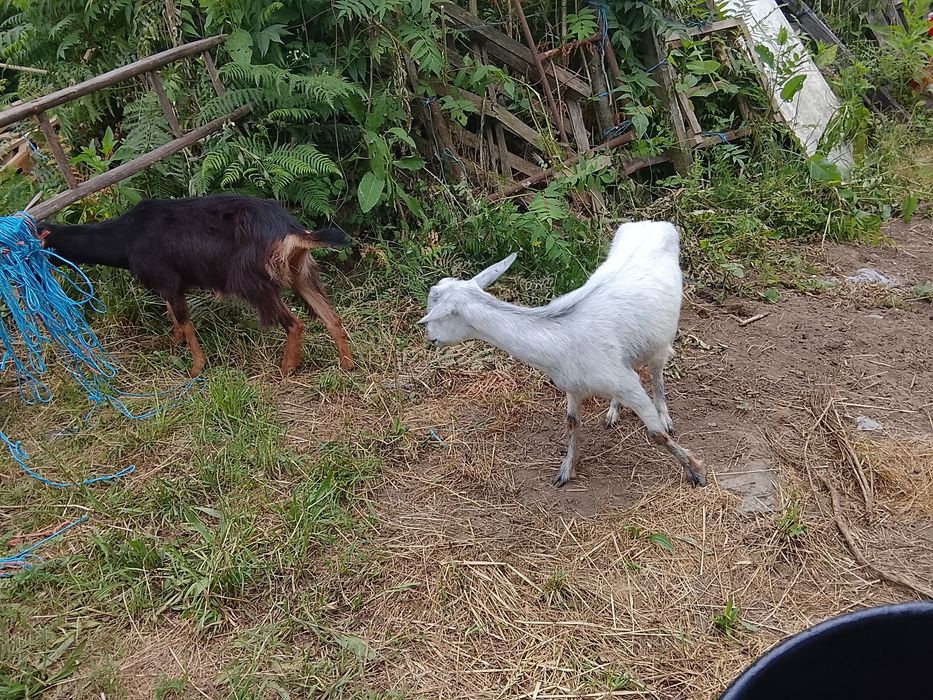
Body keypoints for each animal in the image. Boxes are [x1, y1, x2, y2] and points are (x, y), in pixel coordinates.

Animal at [41, 194, 354, 377]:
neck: (127, 234)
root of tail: (289, 230)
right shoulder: (171, 285)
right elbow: (173, 314)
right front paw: (173, 342)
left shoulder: (168, 280)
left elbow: (183, 319)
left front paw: (196, 367)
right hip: (300, 274)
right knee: (332, 318)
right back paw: (346, 363)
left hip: (252, 282)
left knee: (295, 323)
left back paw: (287, 367)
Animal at [417, 220, 706, 488]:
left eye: (437, 314)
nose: (431, 338)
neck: (560, 337)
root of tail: (654, 223)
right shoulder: (575, 384)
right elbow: (572, 422)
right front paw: (566, 470)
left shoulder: (625, 384)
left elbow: (657, 434)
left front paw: (696, 470)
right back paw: (613, 410)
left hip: (663, 338)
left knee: (657, 373)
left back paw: (664, 414)